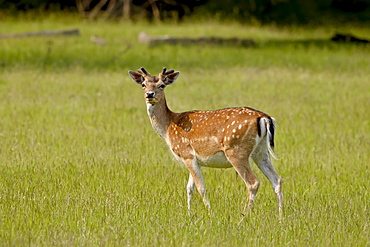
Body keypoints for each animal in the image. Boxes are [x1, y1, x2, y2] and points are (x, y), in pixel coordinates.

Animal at [128, 66, 284, 215]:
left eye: (162, 85)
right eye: (143, 84)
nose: (150, 94)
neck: (168, 127)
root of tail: (264, 118)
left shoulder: (186, 154)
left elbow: (200, 187)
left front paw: (209, 213)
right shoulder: (195, 159)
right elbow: (189, 188)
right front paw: (189, 214)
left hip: (237, 150)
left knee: (253, 183)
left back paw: (243, 217)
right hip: (261, 151)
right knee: (277, 179)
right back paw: (280, 216)